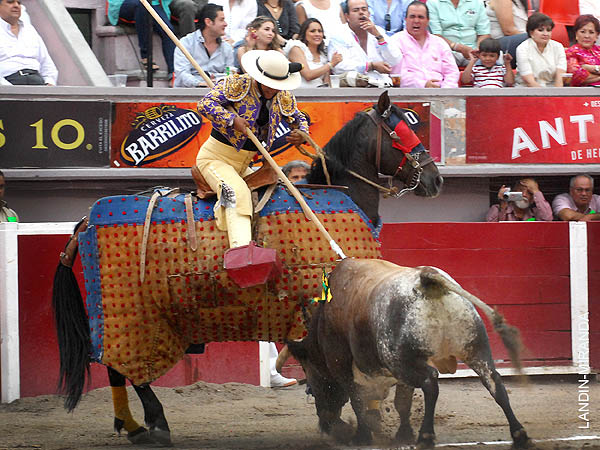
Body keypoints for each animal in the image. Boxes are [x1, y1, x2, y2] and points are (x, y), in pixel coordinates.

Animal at [54, 89, 442, 444]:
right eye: (401, 134)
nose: (435, 179)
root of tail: (86, 220)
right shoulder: (320, 316)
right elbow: (334, 375)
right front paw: (347, 426)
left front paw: (343, 422)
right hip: (132, 319)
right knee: (126, 370)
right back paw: (155, 424)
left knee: (118, 371)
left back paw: (135, 426)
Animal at [288, 258, 532, 448]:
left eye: (311, 378)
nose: (325, 424)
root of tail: (427, 278)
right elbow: (402, 403)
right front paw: (403, 435)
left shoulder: (341, 365)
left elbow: (357, 400)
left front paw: (362, 436)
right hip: (474, 348)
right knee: (494, 381)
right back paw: (519, 435)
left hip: (401, 360)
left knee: (430, 380)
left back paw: (426, 436)